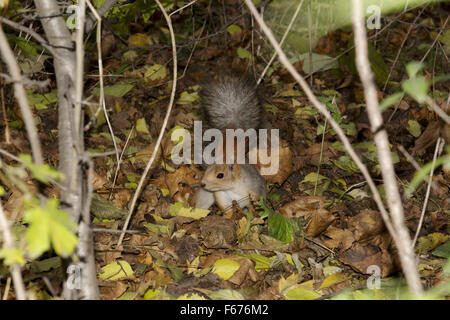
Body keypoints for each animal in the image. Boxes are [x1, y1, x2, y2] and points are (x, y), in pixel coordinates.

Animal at [194, 73, 266, 211]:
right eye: (207, 169)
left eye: (220, 175)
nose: (203, 184)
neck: (230, 189)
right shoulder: (221, 198)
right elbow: (227, 210)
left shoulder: (247, 193)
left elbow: (251, 204)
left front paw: (252, 212)